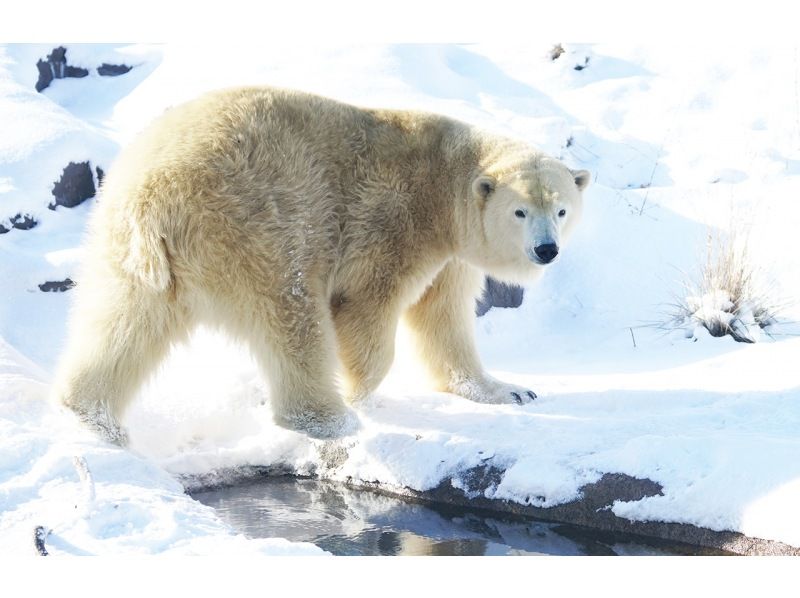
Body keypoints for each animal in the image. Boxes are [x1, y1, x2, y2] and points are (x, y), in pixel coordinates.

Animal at [50, 88, 588, 446]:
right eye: (521, 212)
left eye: (562, 209)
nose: (546, 250)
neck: (444, 177)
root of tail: (154, 196)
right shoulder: (394, 221)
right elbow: (368, 307)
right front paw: (361, 393)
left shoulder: (451, 253)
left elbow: (444, 318)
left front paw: (509, 390)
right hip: (254, 223)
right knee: (291, 313)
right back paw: (331, 418)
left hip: (127, 247)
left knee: (124, 320)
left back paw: (90, 414)